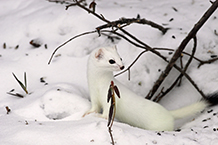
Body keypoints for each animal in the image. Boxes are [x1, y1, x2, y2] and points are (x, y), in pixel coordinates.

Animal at [83, 46, 216, 131]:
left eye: (120, 58)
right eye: (111, 60)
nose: (122, 66)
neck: (98, 84)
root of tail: (168, 113)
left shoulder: (110, 97)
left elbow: (107, 111)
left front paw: (100, 117)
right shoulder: (93, 94)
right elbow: (95, 106)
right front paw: (88, 113)